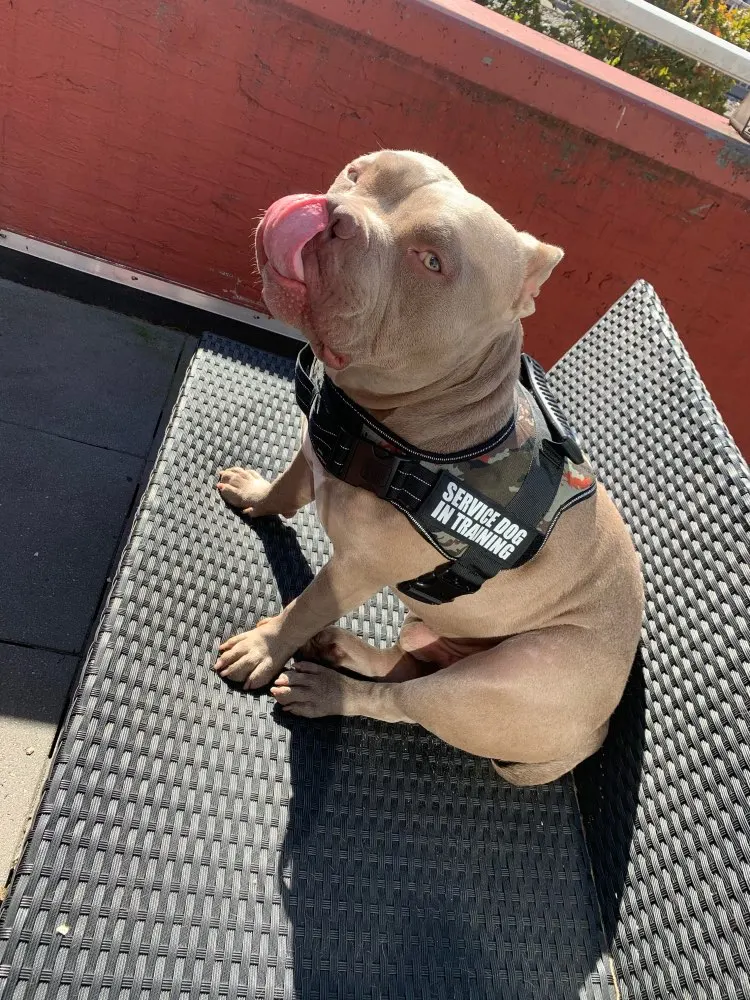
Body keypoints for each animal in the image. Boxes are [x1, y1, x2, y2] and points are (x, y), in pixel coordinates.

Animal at [215, 150, 643, 786]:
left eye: (433, 262)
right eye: (357, 173)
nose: (334, 215)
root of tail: (591, 736)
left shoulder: (356, 570)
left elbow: (303, 607)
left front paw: (263, 647)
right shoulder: (316, 446)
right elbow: (287, 490)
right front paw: (255, 493)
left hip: (499, 682)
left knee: (402, 701)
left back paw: (329, 690)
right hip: (442, 638)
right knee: (408, 662)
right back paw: (349, 651)